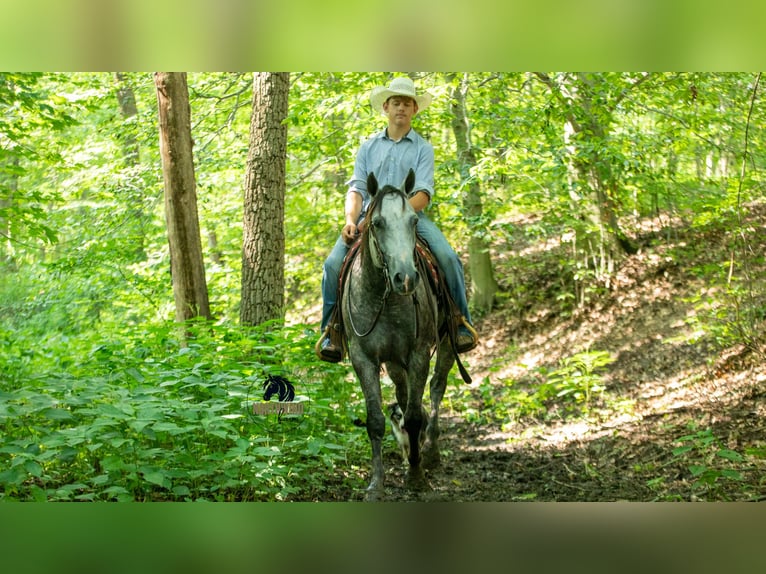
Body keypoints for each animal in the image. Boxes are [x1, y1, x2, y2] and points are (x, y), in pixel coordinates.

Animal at [341, 168, 456, 499]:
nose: (405, 278)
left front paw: (416, 476)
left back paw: (429, 451)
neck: (387, 300)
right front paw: (376, 484)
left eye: (414, 221)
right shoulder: (363, 359)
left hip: (446, 344)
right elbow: (376, 420)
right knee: (403, 395)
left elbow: (415, 416)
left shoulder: (419, 353)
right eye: (377, 223)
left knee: (436, 388)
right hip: (393, 362)